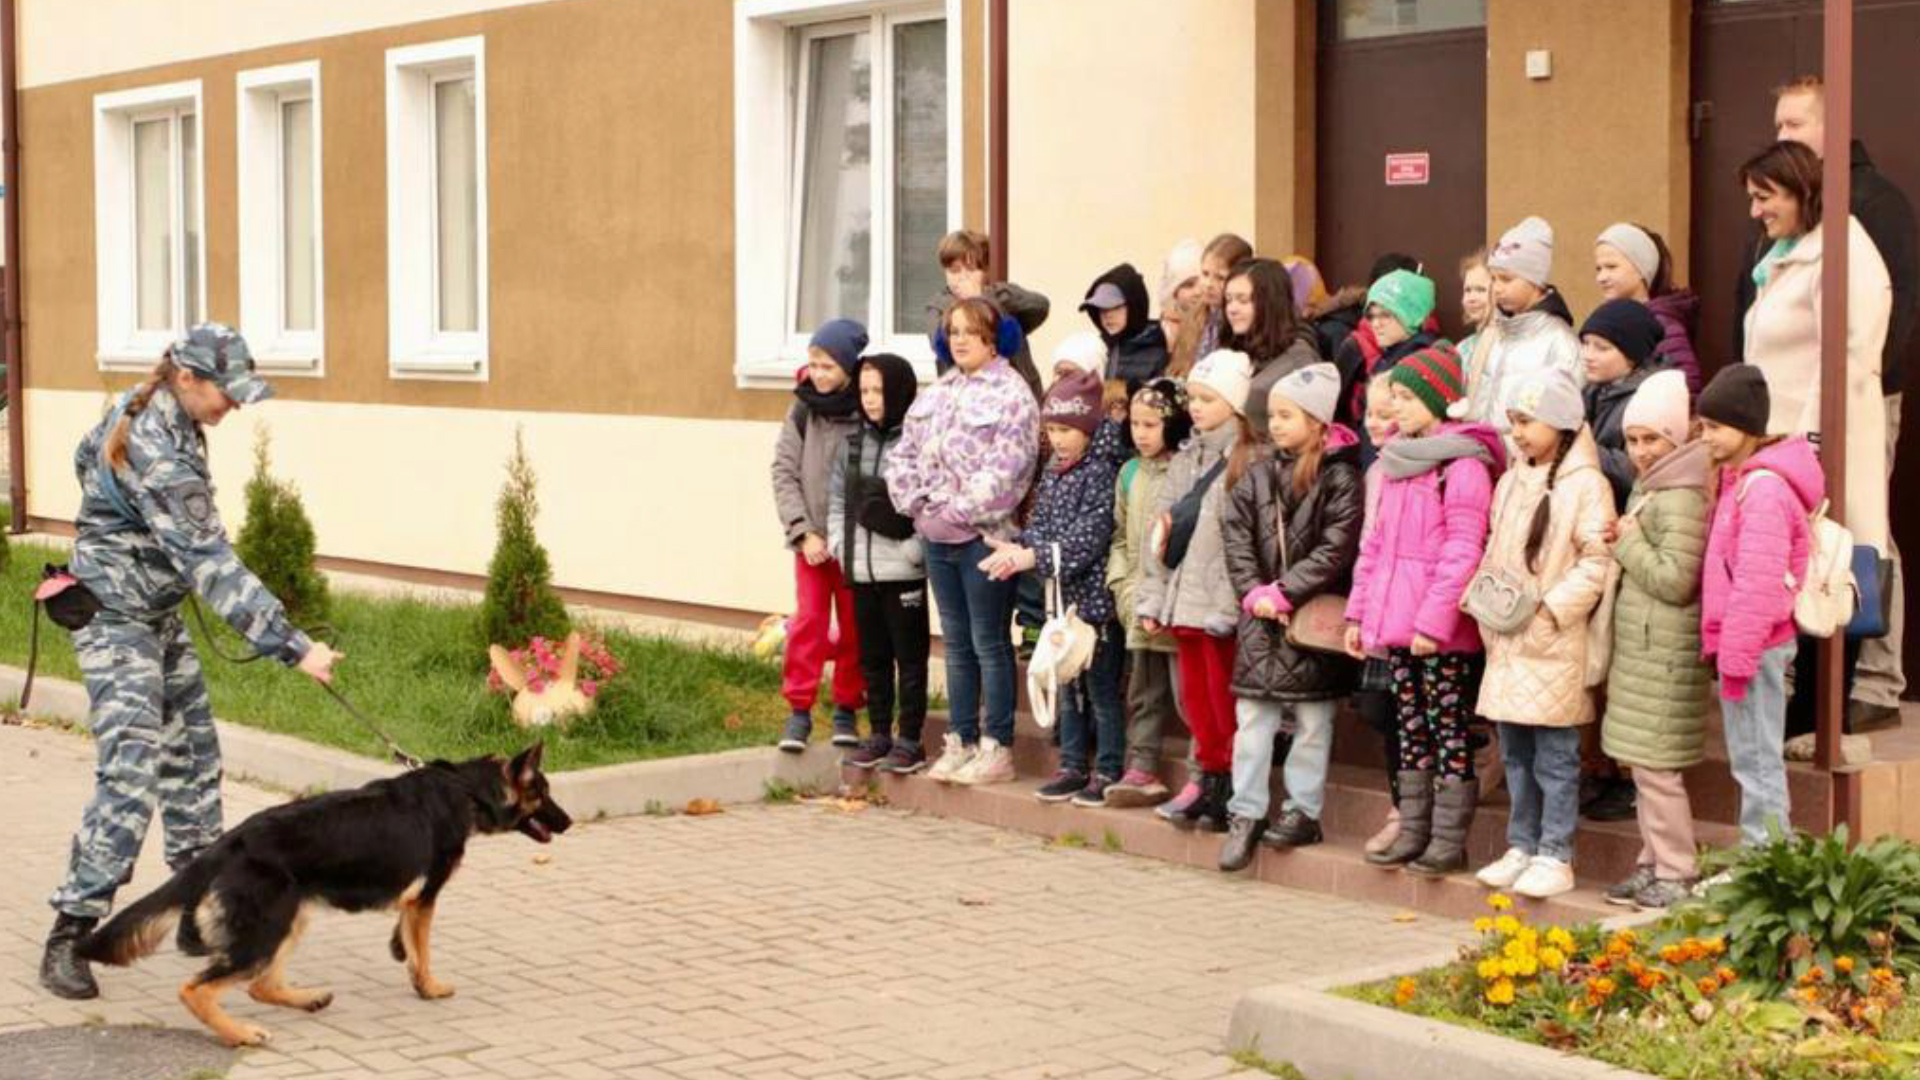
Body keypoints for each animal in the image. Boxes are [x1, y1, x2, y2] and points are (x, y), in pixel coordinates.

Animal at [78, 745, 568, 1037]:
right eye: (544, 793)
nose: (568, 822)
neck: (467, 790)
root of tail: (228, 844)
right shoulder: (428, 896)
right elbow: (424, 950)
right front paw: (428, 986)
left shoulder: (413, 900)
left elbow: (407, 937)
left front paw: (401, 954)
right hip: (267, 931)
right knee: (197, 989)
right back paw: (241, 1035)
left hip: (292, 918)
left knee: (261, 985)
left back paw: (305, 999)